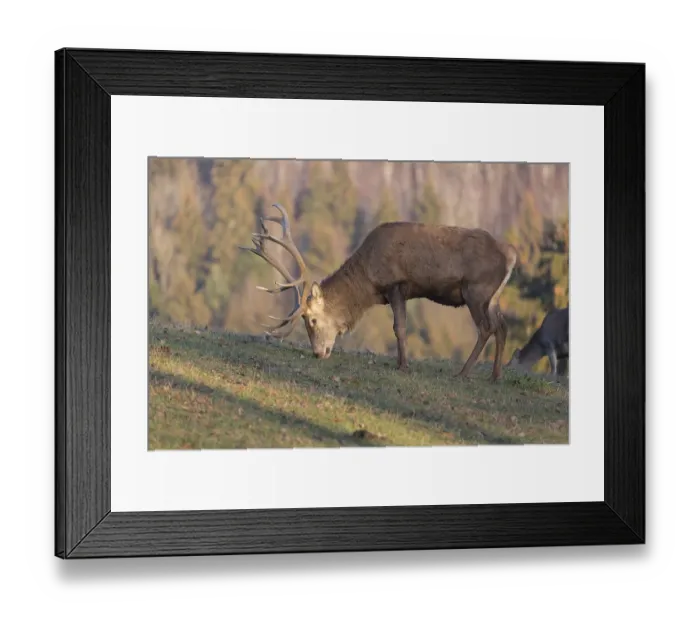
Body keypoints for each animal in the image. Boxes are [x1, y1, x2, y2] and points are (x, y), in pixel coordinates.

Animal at [239, 203, 519, 381]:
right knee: (502, 326)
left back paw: (463, 373)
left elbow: (399, 328)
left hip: (476, 290)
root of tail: (512, 254)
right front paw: (401, 363)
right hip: (492, 297)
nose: (318, 353)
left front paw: (403, 366)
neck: (368, 282)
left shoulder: (395, 284)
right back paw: (495, 376)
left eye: (313, 320)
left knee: (486, 328)